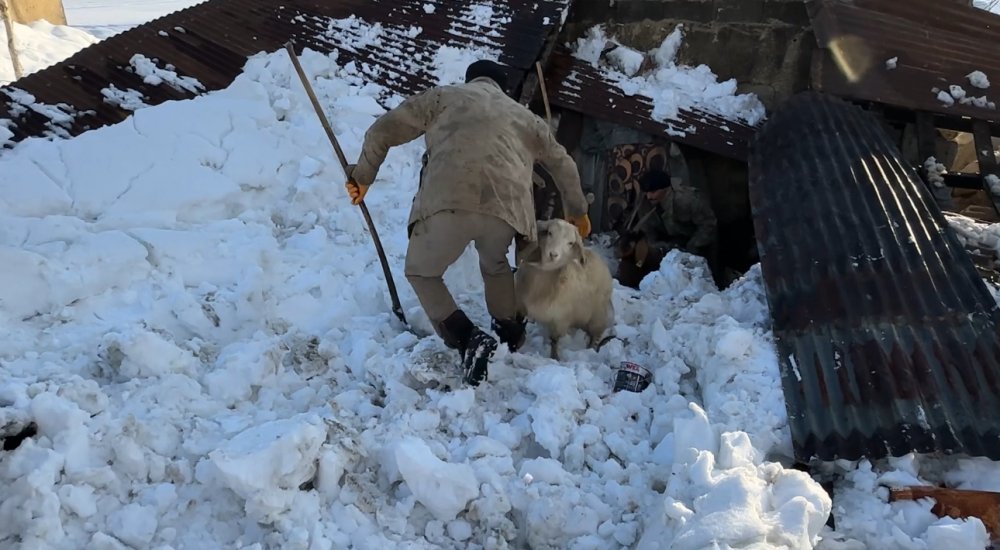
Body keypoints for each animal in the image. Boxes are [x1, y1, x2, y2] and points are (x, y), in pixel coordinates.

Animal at [514, 218, 615, 360]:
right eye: (549, 233)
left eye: (570, 243)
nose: (553, 254)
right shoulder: (519, 305)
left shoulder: (560, 320)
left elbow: (554, 340)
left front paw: (554, 357)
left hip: (598, 317)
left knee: (595, 337)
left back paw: (591, 350)